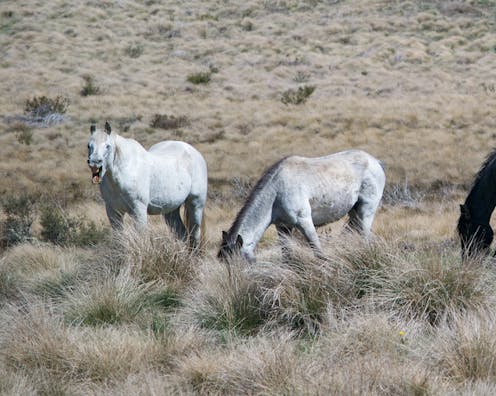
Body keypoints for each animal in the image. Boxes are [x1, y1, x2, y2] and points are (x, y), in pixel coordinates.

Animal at [87, 120, 207, 248]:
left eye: (107, 146)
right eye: (89, 145)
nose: (94, 163)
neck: (127, 171)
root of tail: (194, 152)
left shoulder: (138, 209)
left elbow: (141, 236)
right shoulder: (113, 211)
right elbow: (118, 238)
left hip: (195, 205)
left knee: (195, 235)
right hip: (171, 210)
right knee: (182, 234)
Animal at [219, 150, 386, 262]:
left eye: (238, 262)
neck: (277, 192)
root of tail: (376, 162)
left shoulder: (305, 222)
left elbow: (318, 252)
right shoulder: (283, 227)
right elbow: (287, 256)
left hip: (366, 211)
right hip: (354, 212)